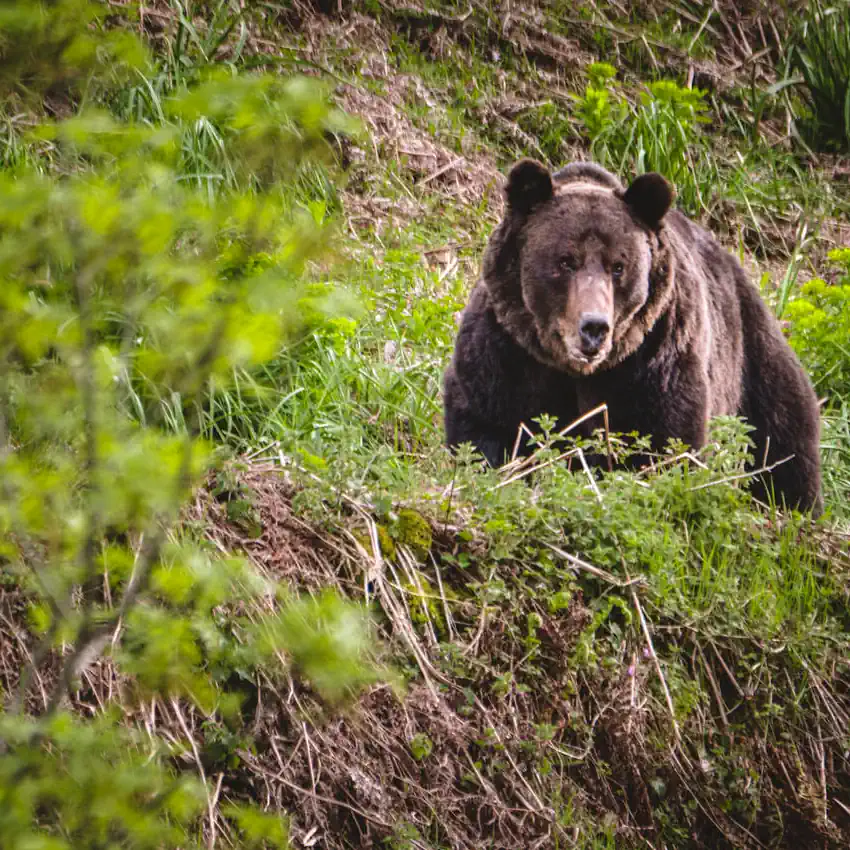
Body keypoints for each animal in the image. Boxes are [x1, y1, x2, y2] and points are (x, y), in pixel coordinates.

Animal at [443, 158, 823, 515]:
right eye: (565, 261)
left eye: (618, 266)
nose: (594, 327)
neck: (574, 371)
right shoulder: (507, 352)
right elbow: (488, 425)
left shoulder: (653, 360)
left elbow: (663, 441)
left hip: (752, 364)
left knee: (784, 444)